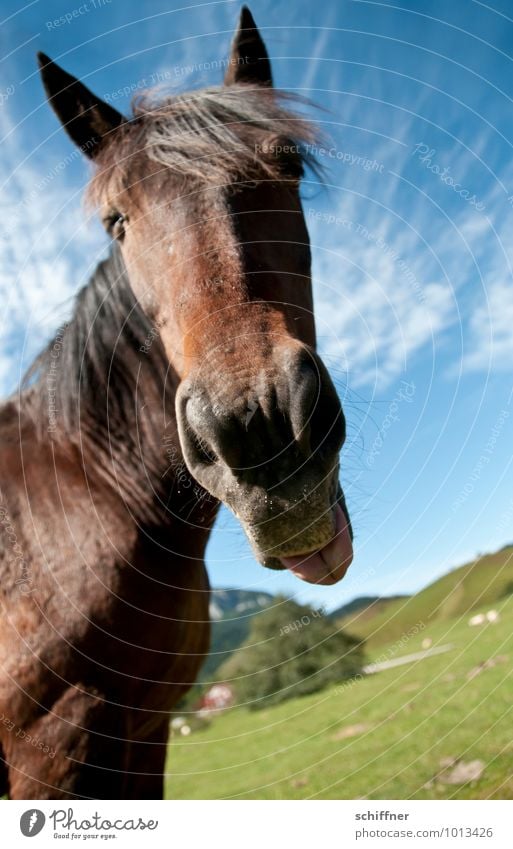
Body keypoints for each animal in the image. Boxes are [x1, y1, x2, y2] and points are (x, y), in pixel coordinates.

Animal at [0, 6, 352, 800]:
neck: (90, 493)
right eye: (116, 221)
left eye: (287, 162)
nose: (255, 426)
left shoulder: (144, 733)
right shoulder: (46, 752)